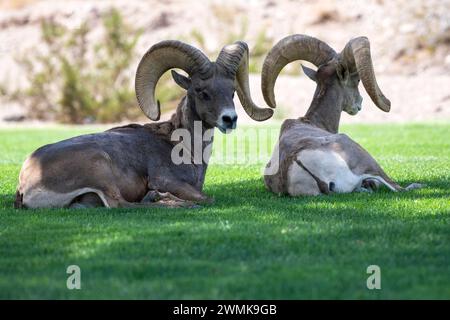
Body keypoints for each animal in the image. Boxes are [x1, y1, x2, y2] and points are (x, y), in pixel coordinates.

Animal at [15, 40, 272, 209]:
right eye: (201, 91)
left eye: (232, 91)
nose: (230, 119)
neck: (186, 148)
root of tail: (25, 184)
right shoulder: (166, 180)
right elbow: (207, 198)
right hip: (100, 168)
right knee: (119, 205)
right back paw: (163, 200)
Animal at [262, 34, 420, 195]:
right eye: (357, 79)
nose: (359, 103)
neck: (312, 122)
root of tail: (296, 160)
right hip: (360, 154)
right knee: (396, 187)